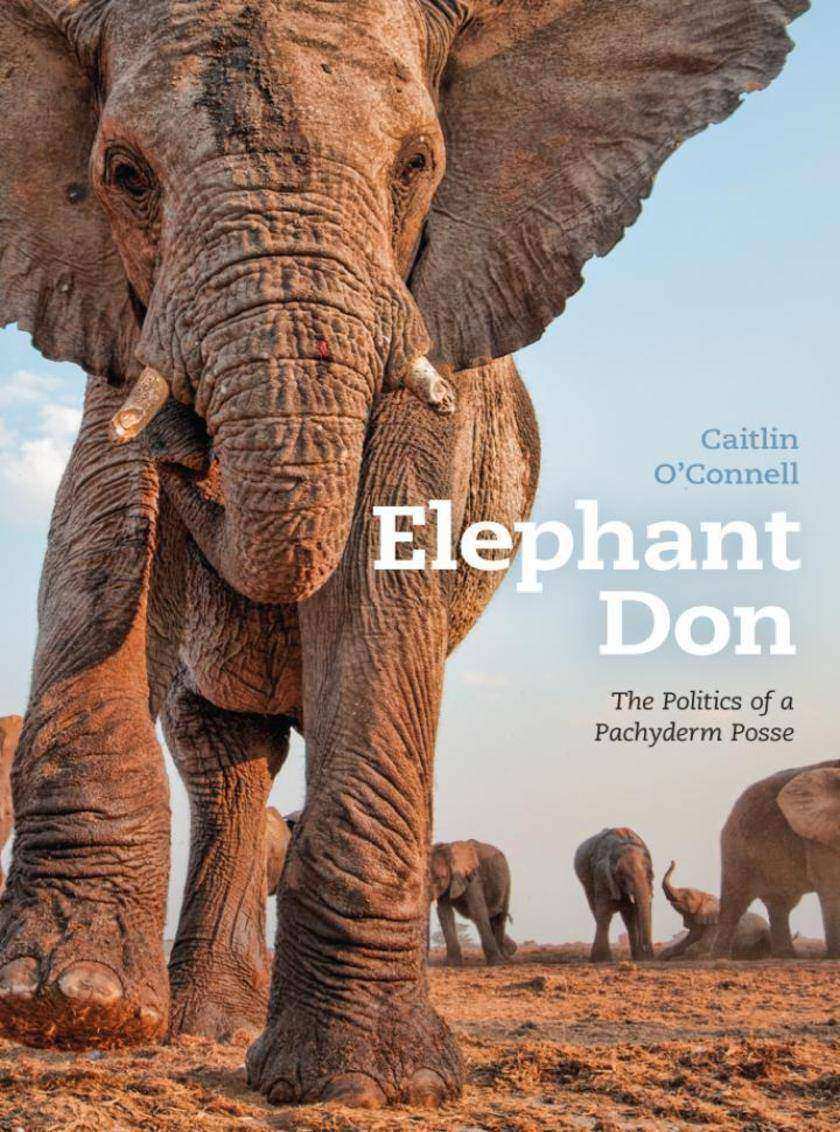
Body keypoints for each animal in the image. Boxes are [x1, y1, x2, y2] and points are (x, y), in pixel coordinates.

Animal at [574, 828, 654, 962]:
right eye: (623, 876)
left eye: (649, 873)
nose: (649, 955)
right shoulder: (602, 874)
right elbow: (605, 911)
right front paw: (601, 959)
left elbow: (638, 909)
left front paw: (641, 958)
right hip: (586, 883)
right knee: (597, 911)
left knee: (629, 918)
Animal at [713, 760, 840, 959]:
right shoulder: (819, 836)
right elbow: (832, 886)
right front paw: (835, 956)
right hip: (735, 848)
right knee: (735, 903)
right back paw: (720, 957)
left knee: (781, 904)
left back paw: (787, 956)